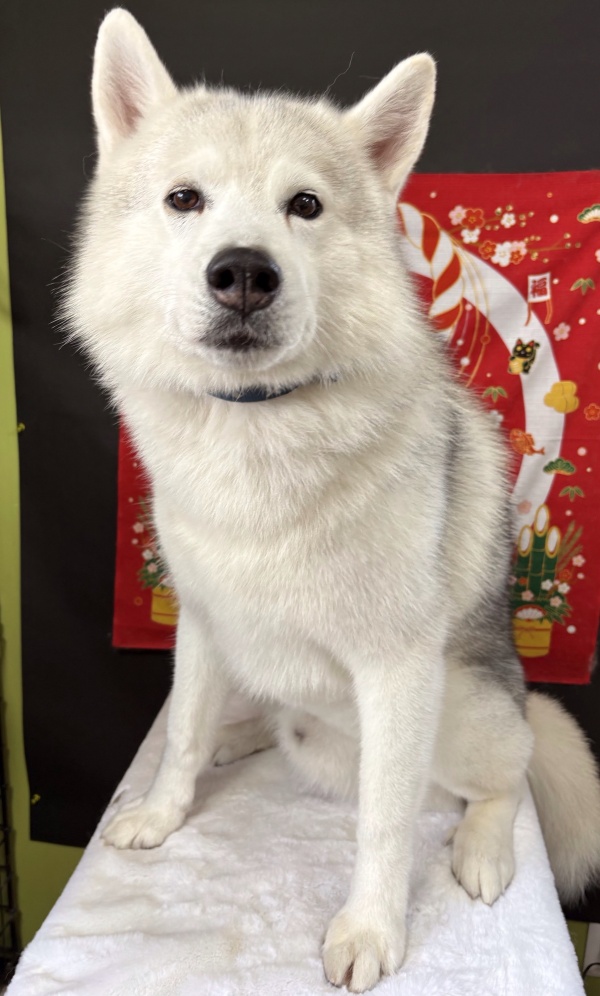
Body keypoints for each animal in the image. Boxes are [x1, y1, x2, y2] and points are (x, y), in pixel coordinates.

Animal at [65, 9, 600, 991]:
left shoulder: (395, 671)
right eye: (185, 199)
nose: (244, 272)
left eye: (304, 206)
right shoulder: (202, 621)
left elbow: (383, 825)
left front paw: (371, 930)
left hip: (465, 712)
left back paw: (483, 846)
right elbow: (184, 731)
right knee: (265, 720)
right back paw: (243, 736)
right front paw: (162, 810)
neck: (257, 434)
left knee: (501, 780)